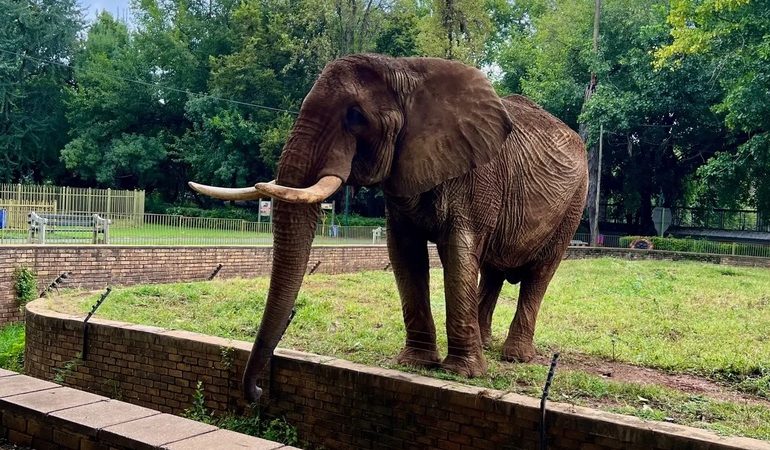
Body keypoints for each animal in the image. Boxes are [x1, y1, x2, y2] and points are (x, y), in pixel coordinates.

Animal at [189, 52, 584, 400]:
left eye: (355, 116)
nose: (257, 392)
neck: (406, 71)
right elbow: (404, 253)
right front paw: (417, 364)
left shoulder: (477, 177)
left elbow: (458, 253)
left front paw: (461, 373)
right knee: (493, 270)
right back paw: (486, 343)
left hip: (575, 203)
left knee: (538, 275)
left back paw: (514, 356)